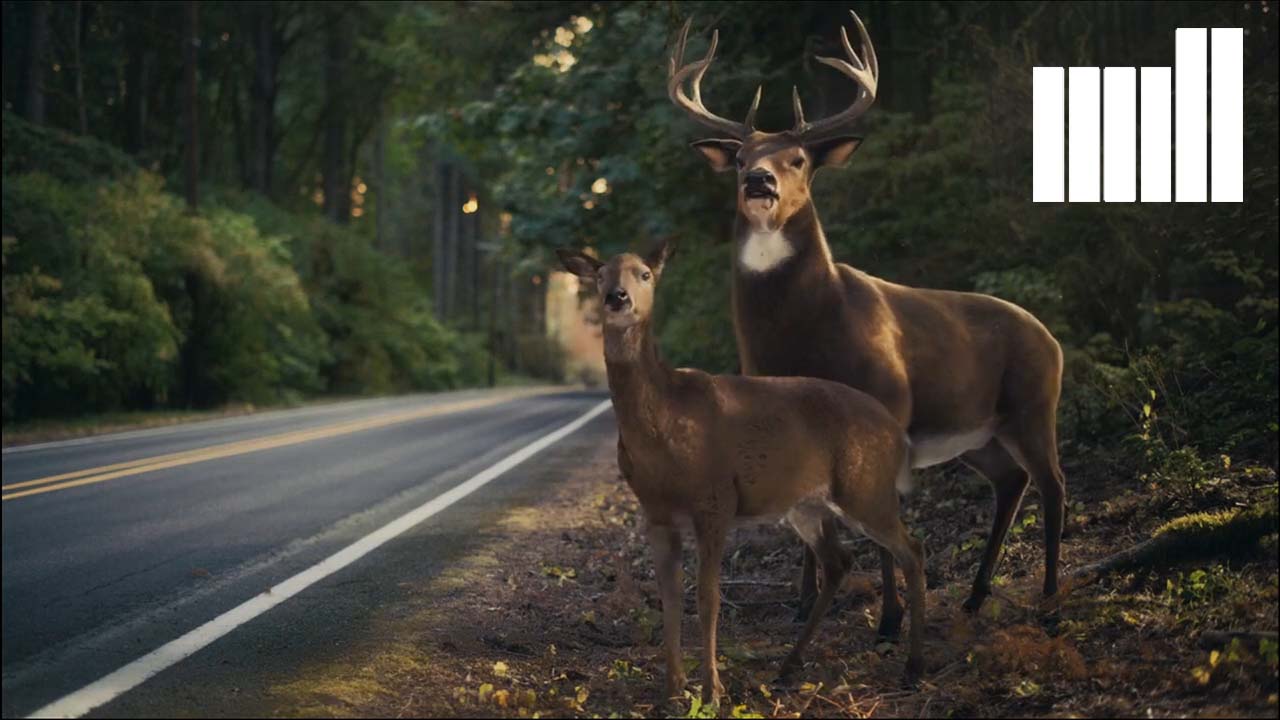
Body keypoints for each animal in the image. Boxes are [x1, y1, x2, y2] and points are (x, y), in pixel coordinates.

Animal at [557, 242, 927, 704]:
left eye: (645, 274)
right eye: (601, 274)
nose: (617, 297)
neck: (664, 422)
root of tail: (898, 434)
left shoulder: (716, 497)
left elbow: (709, 596)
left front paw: (712, 690)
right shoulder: (654, 509)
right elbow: (669, 595)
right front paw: (673, 689)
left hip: (867, 488)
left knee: (912, 550)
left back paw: (913, 669)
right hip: (809, 504)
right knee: (840, 560)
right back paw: (788, 667)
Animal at [667, 10, 1067, 638]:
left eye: (798, 159)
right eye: (739, 158)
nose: (760, 182)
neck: (804, 335)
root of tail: (1052, 338)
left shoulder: (888, 402)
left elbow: (880, 529)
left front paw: (890, 620)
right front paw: (803, 605)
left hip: (1033, 401)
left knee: (1053, 483)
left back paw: (1048, 599)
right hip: (977, 430)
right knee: (1012, 481)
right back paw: (975, 597)